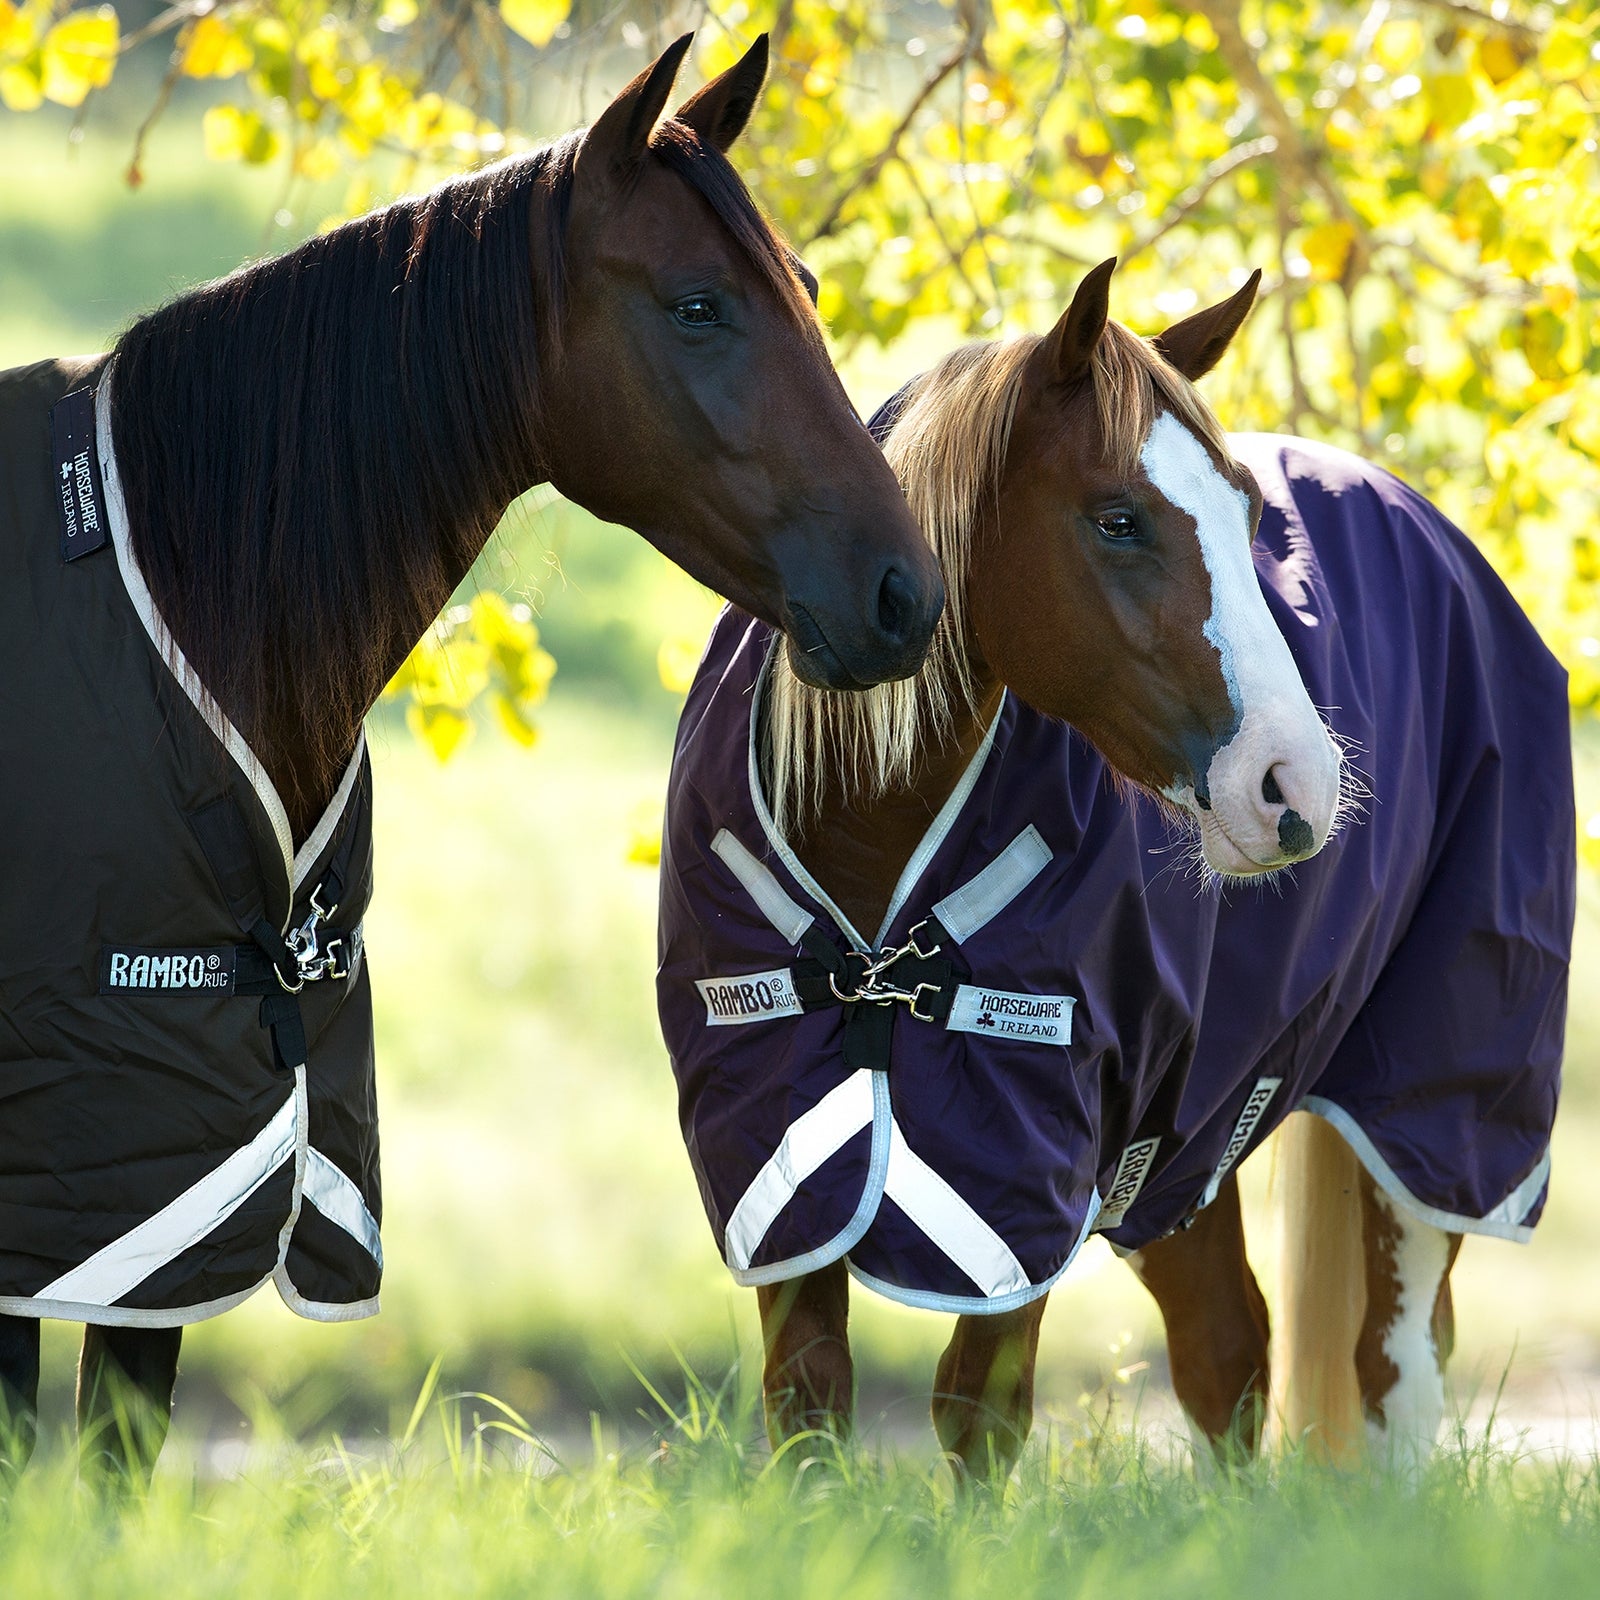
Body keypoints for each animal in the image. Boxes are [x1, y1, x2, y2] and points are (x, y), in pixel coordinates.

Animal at [656, 258, 1574, 1480]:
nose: (1296, 784)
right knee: (1228, 1352)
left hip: (1432, 1121)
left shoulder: (1032, 1165)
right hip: (1192, 1130)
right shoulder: (777, 1154)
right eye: (1119, 519)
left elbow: (980, 1414)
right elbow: (808, 1407)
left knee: (1394, 1375)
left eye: (1251, 518)